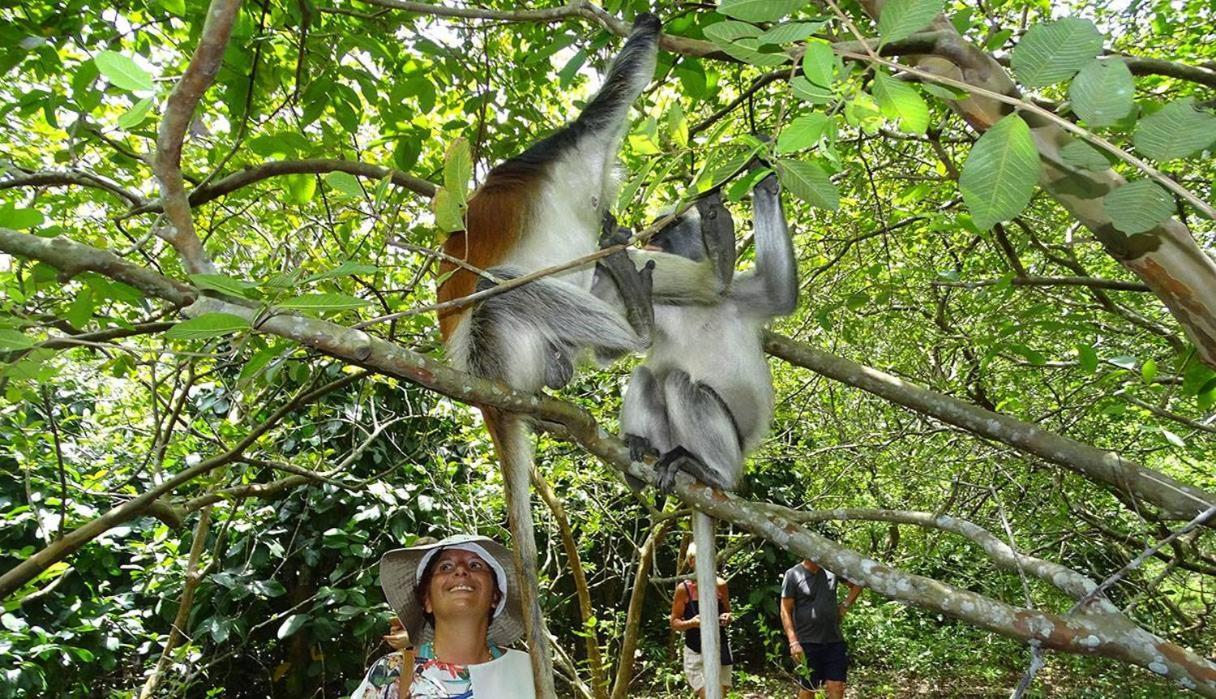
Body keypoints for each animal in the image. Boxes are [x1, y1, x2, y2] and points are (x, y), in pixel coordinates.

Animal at [435, 15, 666, 695]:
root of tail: (484, 398)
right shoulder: (571, 142)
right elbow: (622, 84)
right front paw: (648, 25)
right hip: (489, 348)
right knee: (503, 287)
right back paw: (637, 327)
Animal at [622, 171, 802, 699]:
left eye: (668, 230)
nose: (652, 242)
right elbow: (639, 340)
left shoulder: (736, 294)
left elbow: (781, 295)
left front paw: (762, 184)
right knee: (652, 375)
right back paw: (643, 456)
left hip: (730, 444)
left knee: (679, 383)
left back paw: (710, 472)